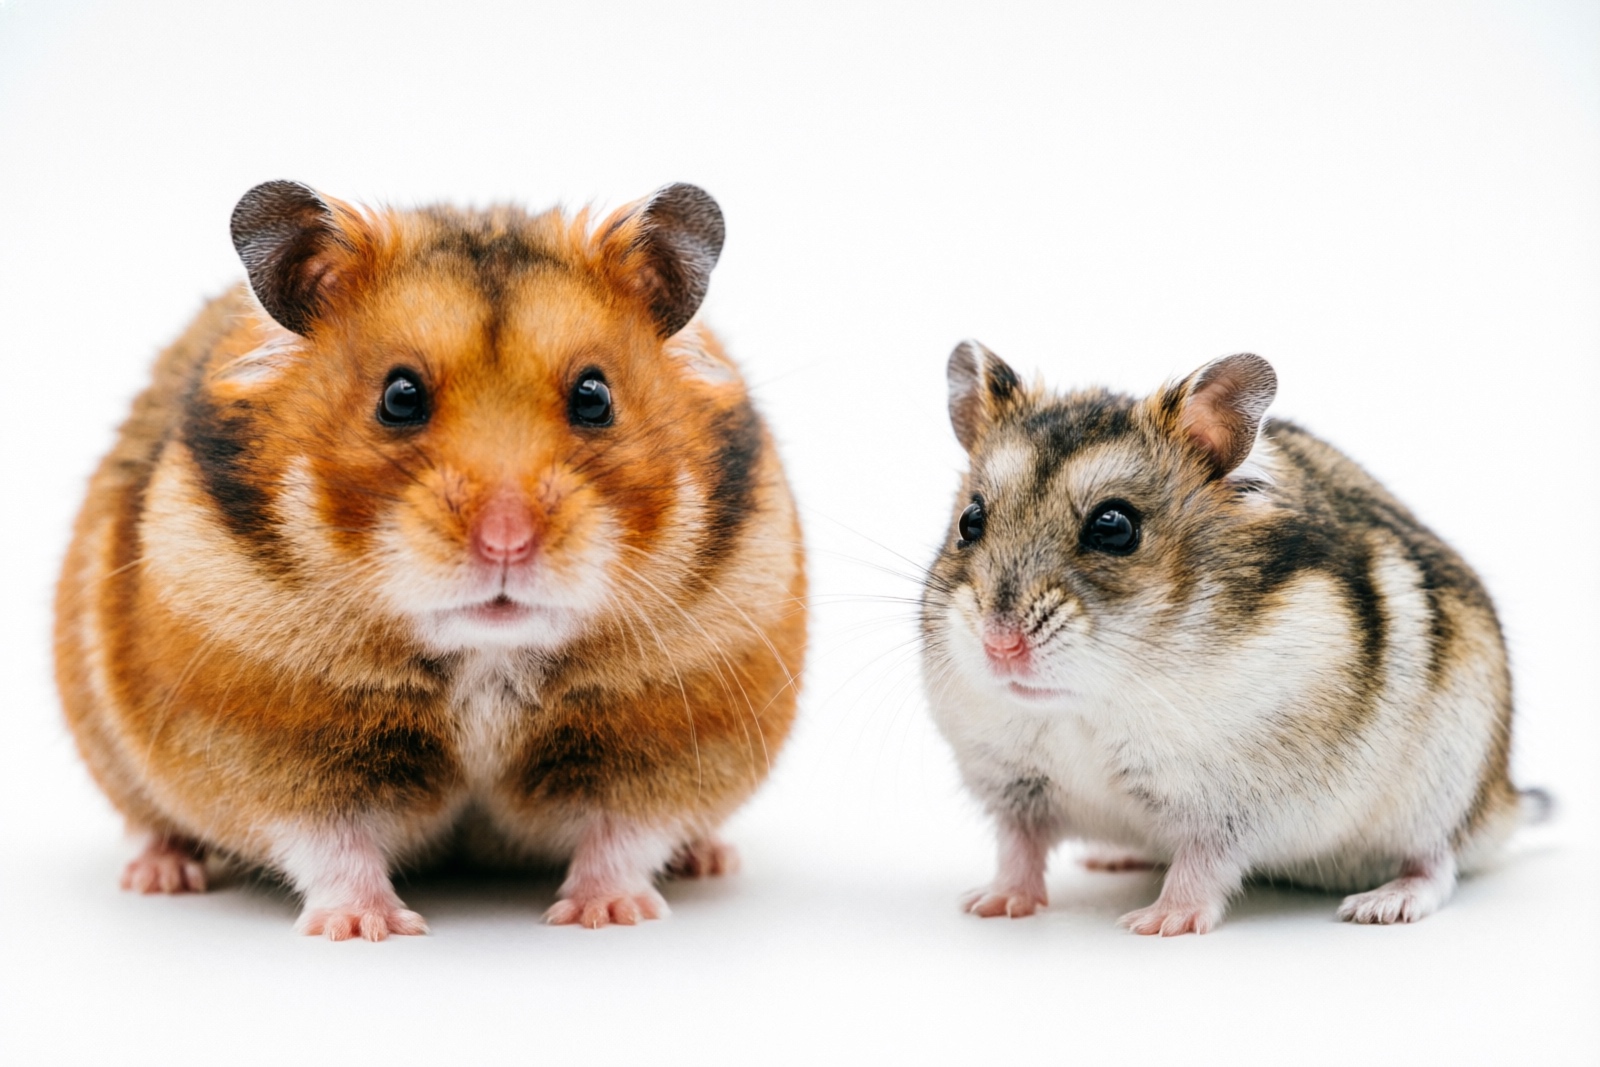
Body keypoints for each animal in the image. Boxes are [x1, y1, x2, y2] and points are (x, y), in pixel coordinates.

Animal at [53, 180, 806, 938]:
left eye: (595, 397)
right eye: (399, 396)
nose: (505, 543)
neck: (487, 657)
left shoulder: (668, 740)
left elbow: (623, 835)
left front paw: (607, 915)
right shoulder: (269, 745)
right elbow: (330, 843)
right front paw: (368, 928)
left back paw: (709, 859)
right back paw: (160, 875)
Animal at [920, 340, 1545, 935]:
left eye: (1114, 527)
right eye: (970, 521)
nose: (1000, 647)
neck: (1089, 705)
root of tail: (1503, 799)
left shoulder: (1234, 805)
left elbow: (1203, 864)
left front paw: (1156, 923)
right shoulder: (1012, 785)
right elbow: (1018, 848)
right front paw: (989, 905)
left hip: (1444, 788)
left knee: (1437, 862)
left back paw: (1382, 904)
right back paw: (1112, 859)